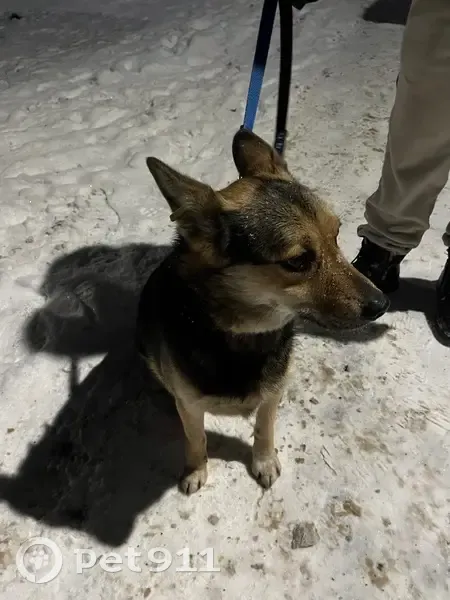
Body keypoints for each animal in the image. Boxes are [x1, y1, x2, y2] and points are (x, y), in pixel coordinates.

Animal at [136, 129, 389, 494]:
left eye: (337, 235)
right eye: (298, 261)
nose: (382, 304)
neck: (241, 337)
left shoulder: (272, 395)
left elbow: (264, 428)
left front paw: (264, 461)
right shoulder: (190, 406)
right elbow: (195, 439)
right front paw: (196, 469)